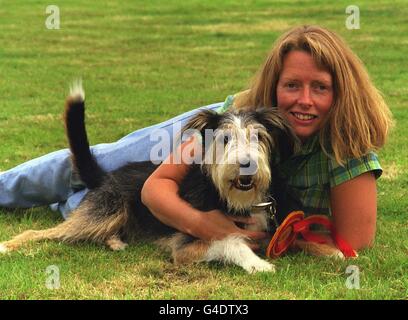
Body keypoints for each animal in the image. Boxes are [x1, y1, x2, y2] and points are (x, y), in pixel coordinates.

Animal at [0, 84, 300, 274]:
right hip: (104, 212)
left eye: (258, 136)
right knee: (39, 233)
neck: (230, 196)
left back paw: (115, 241)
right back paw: (7, 245)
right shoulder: (186, 246)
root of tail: (107, 175)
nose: (246, 165)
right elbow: (230, 241)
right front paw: (258, 264)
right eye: (225, 139)